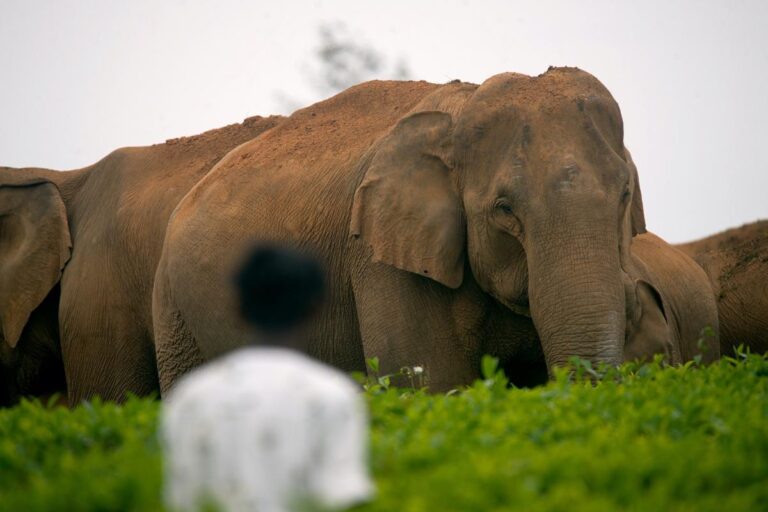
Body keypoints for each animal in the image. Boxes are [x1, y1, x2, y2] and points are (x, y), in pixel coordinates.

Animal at [152, 65, 720, 392]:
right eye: (504, 209)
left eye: (625, 194)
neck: (461, 112)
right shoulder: (380, 258)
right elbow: (432, 386)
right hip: (173, 310)